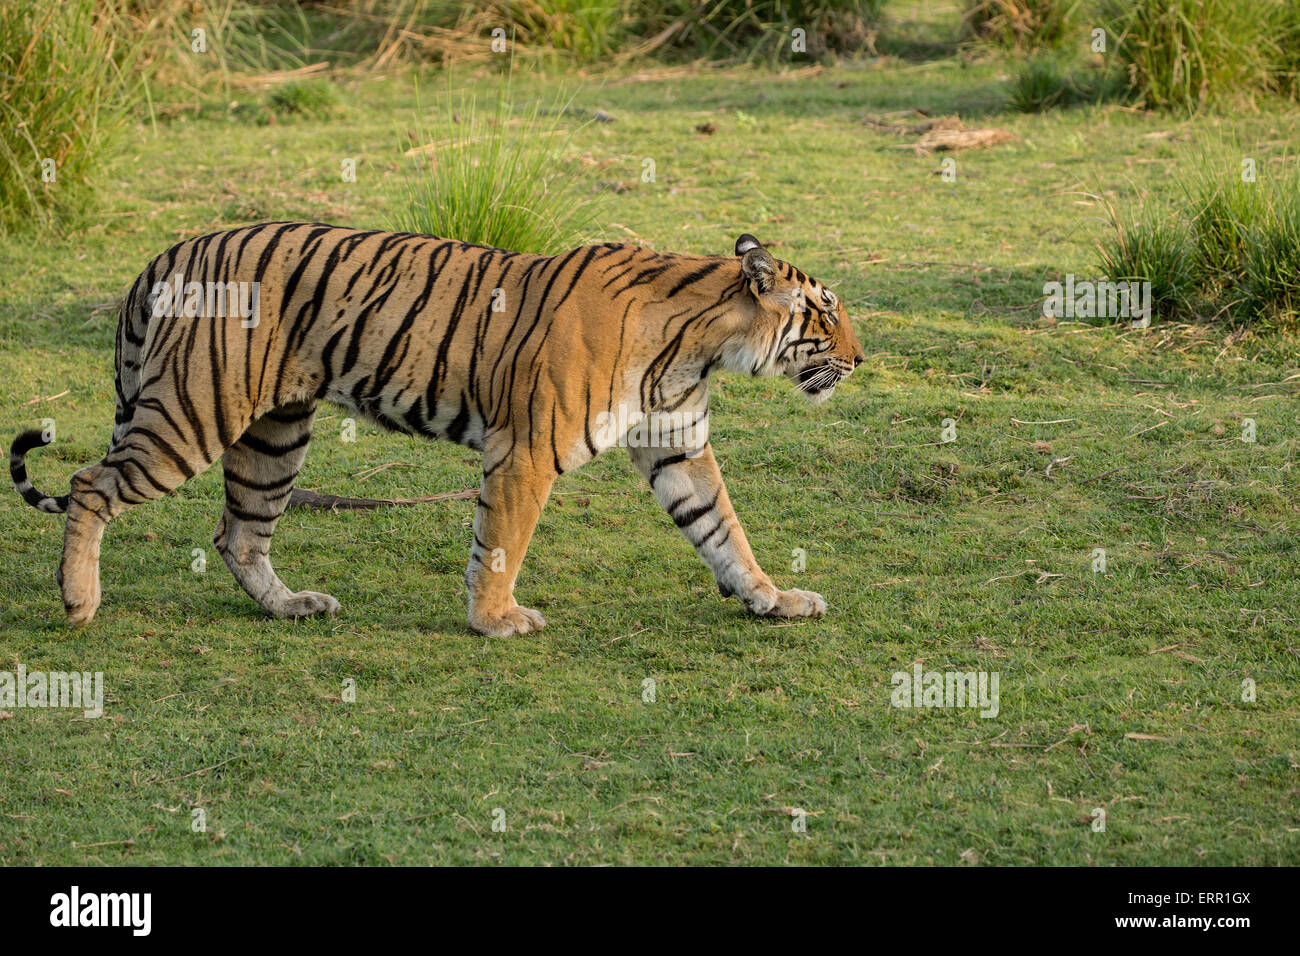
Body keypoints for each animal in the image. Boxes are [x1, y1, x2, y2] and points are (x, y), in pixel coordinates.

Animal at [10, 223, 868, 634]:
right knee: (90, 484)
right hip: (194, 412)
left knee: (239, 534)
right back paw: (79, 601)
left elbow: (723, 529)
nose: (862, 359)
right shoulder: (526, 450)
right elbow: (501, 542)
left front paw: (771, 599)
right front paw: (495, 622)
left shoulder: (676, 445)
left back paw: (292, 607)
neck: (701, 344)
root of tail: (168, 253)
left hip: (276, 433)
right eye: (824, 314)